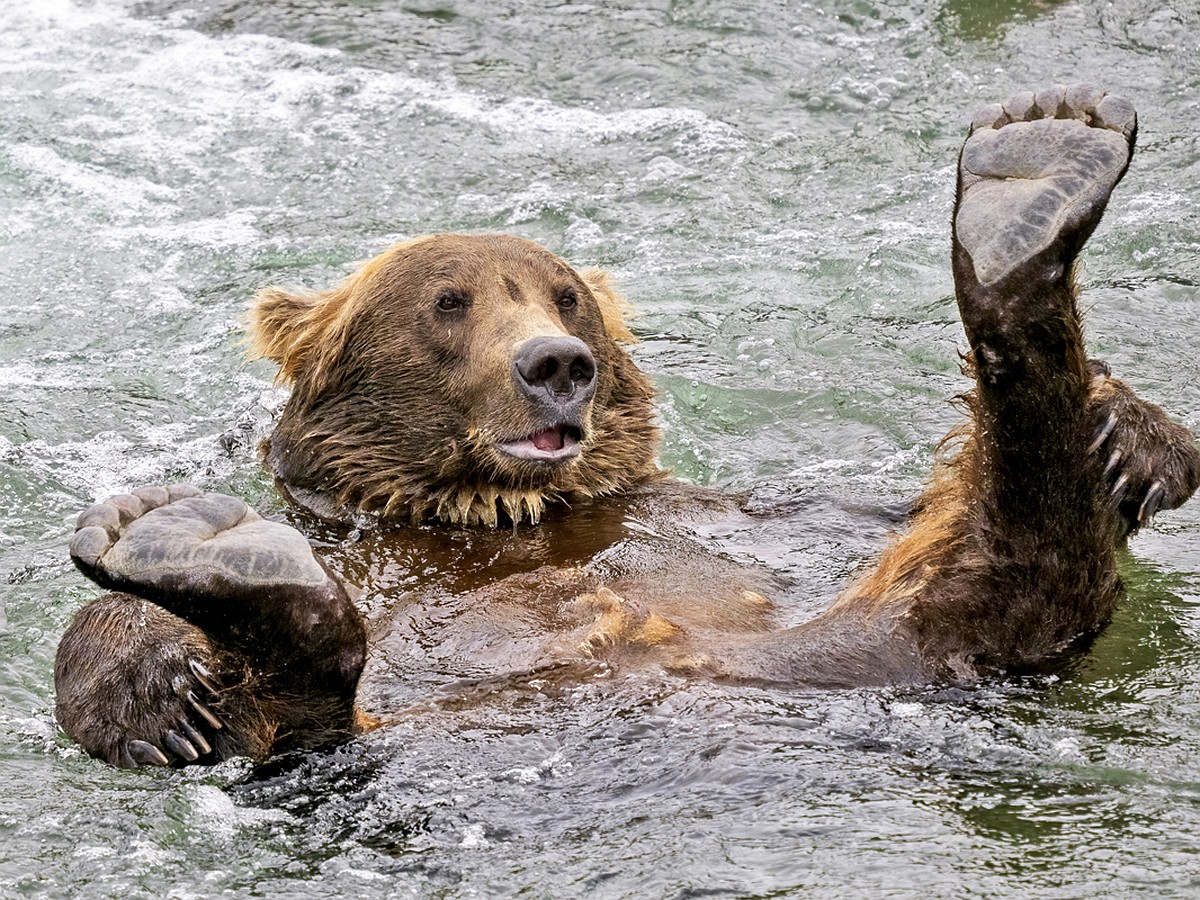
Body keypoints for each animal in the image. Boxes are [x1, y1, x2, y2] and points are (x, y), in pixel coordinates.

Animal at [51, 84, 1200, 772]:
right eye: (449, 302)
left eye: (561, 294)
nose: (557, 364)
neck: (495, 510)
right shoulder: (359, 538)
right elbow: (102, 645)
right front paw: (161, 668)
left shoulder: (736, 512)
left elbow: (853, 511)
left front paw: (1134, 443)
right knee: (297, 722)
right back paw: (203, 551)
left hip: (895, 628)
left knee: (1019, 564)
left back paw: (1032, 181)